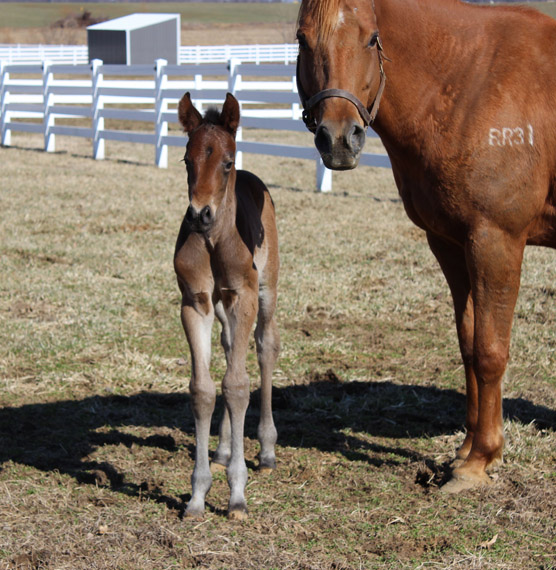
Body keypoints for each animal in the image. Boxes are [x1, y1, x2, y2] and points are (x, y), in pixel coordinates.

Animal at [298, 0, 556, 490]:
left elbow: (490, 351)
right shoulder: (451, 243)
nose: (338, 138)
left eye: (371, 38)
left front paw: (480, 462)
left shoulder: (497, 241)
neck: (470, 84)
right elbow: (469, 344)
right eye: (303, 40)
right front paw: (469, 451)